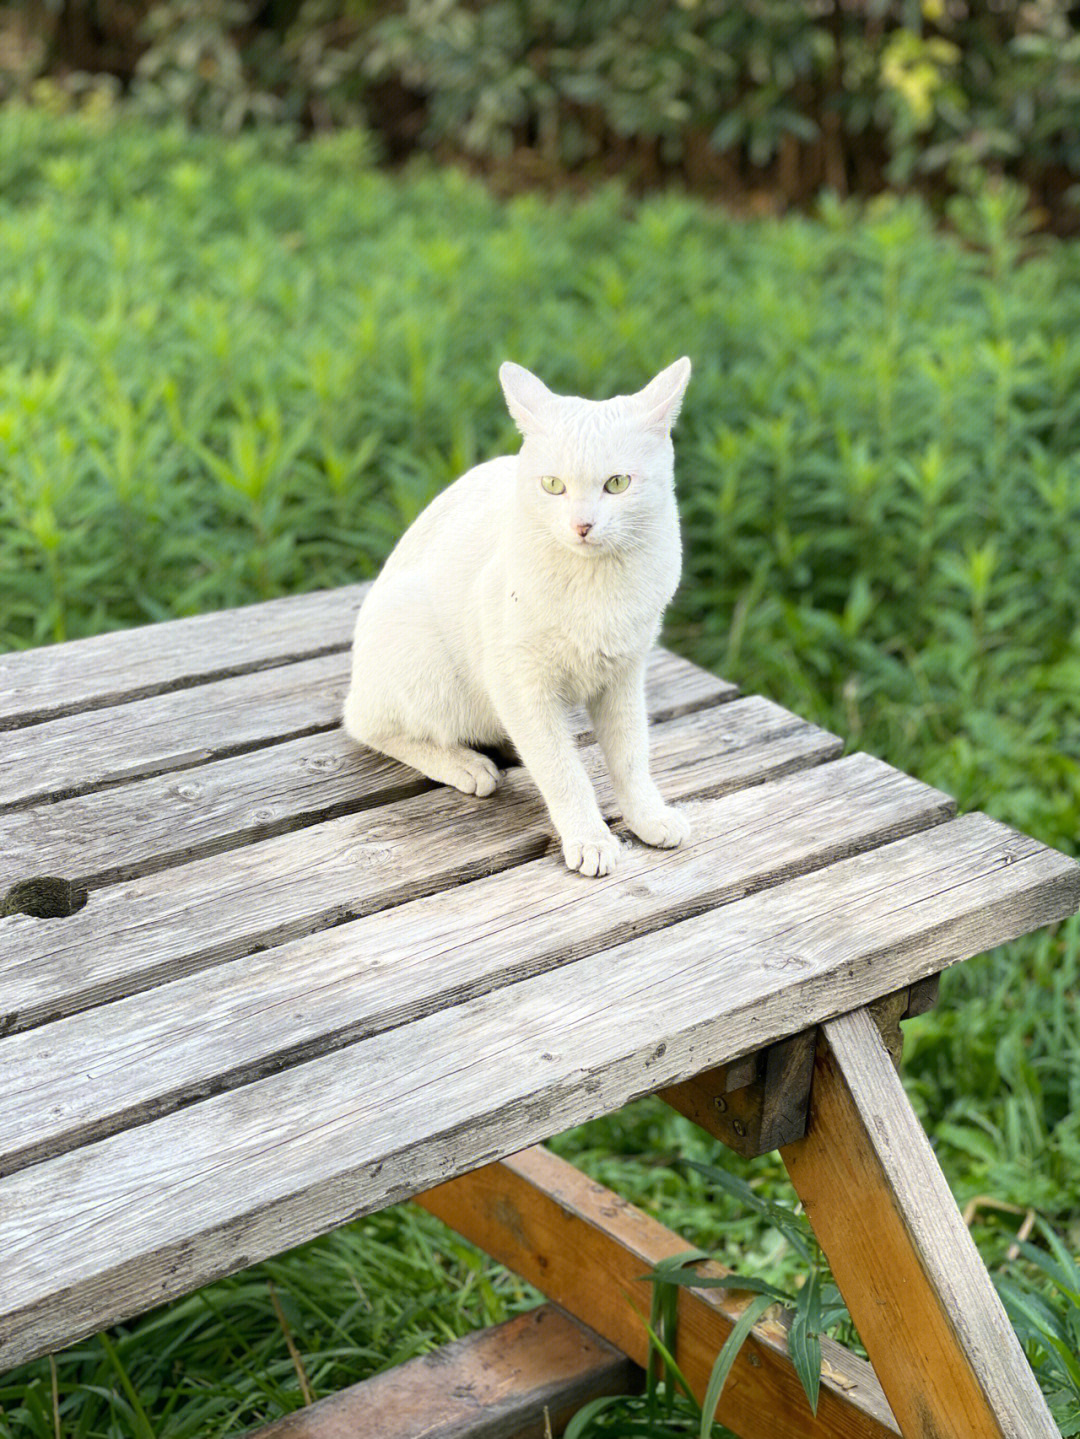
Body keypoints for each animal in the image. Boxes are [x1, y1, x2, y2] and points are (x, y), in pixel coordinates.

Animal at [343, 359, 693, 874]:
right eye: (553, 485)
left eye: (617, 483)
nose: (582, 525)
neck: (596, 584)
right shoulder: (519, 680)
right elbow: (563, 771)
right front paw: (590, 838)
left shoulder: (624, 675)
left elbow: (631, 755)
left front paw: (648, 816)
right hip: (420, 656)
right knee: (367, 724)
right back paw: (466, 764)